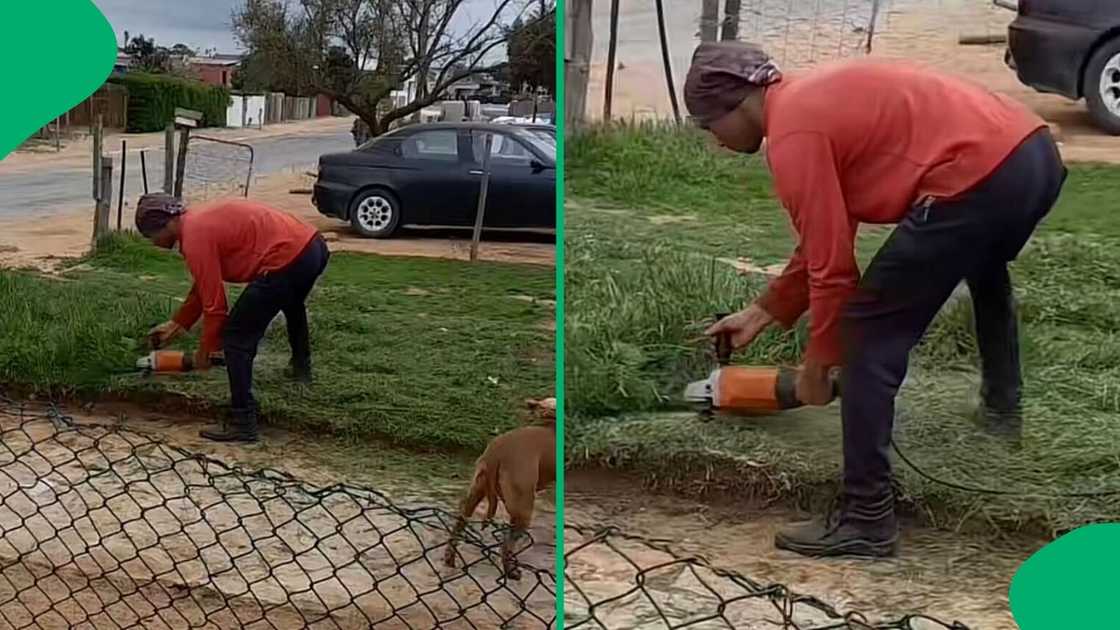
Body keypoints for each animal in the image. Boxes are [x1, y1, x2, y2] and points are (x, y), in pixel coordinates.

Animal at [441, 396, 555, 578]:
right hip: (523, 508)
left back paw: (449, 558)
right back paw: (511, 572)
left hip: (475, 493)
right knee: (506, 545)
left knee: (459, 525)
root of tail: (495, 454)